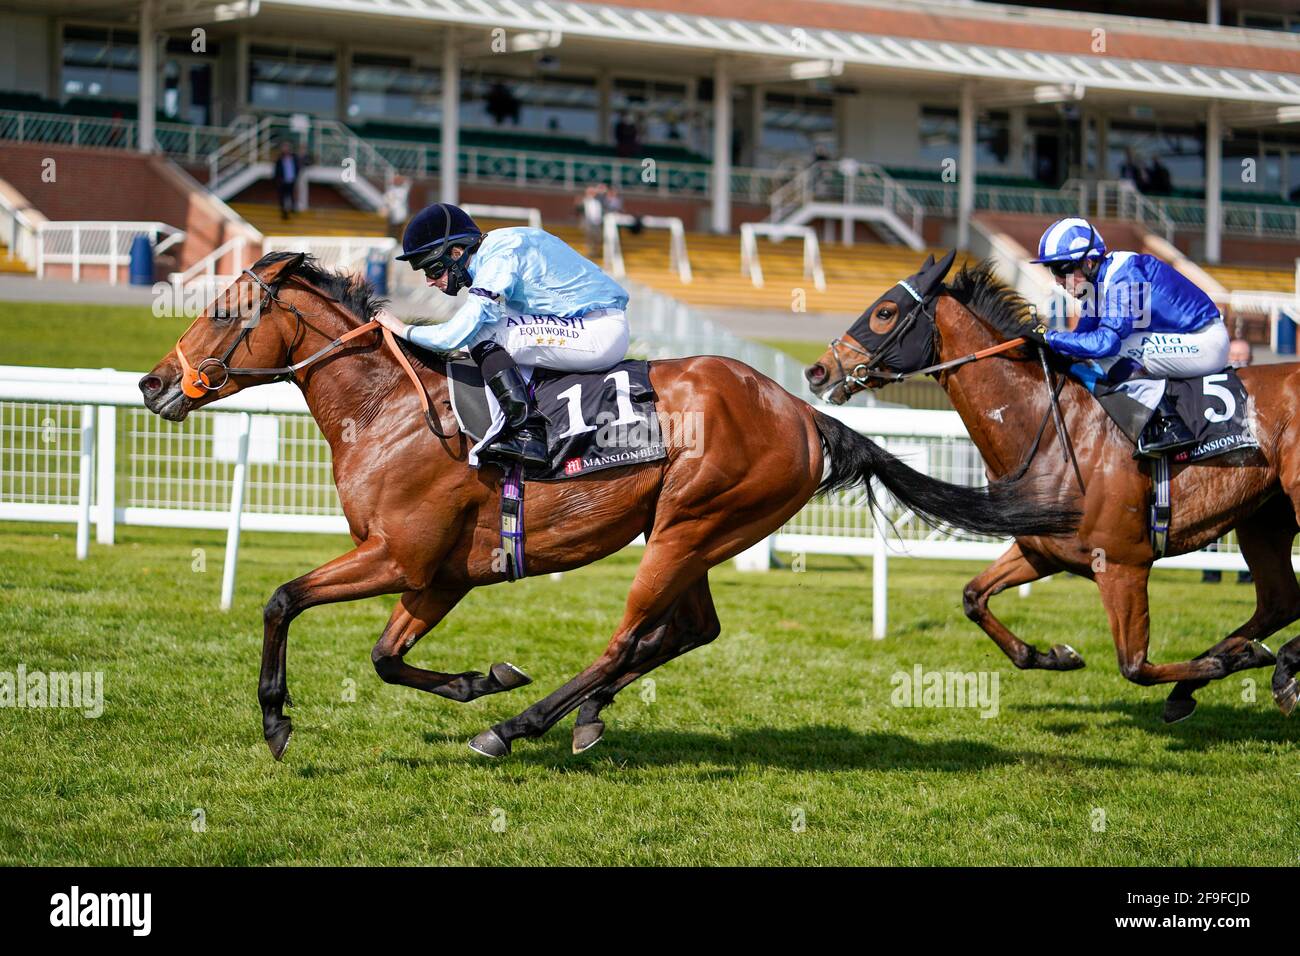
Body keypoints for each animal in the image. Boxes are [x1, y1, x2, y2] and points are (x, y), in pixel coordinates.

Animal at [139, 254, 1076, 764]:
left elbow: (281, 599)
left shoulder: (400, 557)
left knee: (631, 636)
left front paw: (275, 719)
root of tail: (802, 411)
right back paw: (580, 714)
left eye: (223, 309)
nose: (151, 384)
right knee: (688, 630)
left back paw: (519, 727)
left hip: (691, 524)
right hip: (693, 531)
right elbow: (384, 656)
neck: (391, 409)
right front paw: (481, 677)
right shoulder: (440, 575)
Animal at [800, 251, 1300, 723]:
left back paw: (1262, 662)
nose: (817, 371)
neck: (1055, 433)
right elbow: (973, 598)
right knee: (1279, 601)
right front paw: (1056, 655)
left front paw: (1229, 663)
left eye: (885, 312)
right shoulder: (1040, 549)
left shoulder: (1123, 564)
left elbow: (1134, 665)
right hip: (1265, 520)